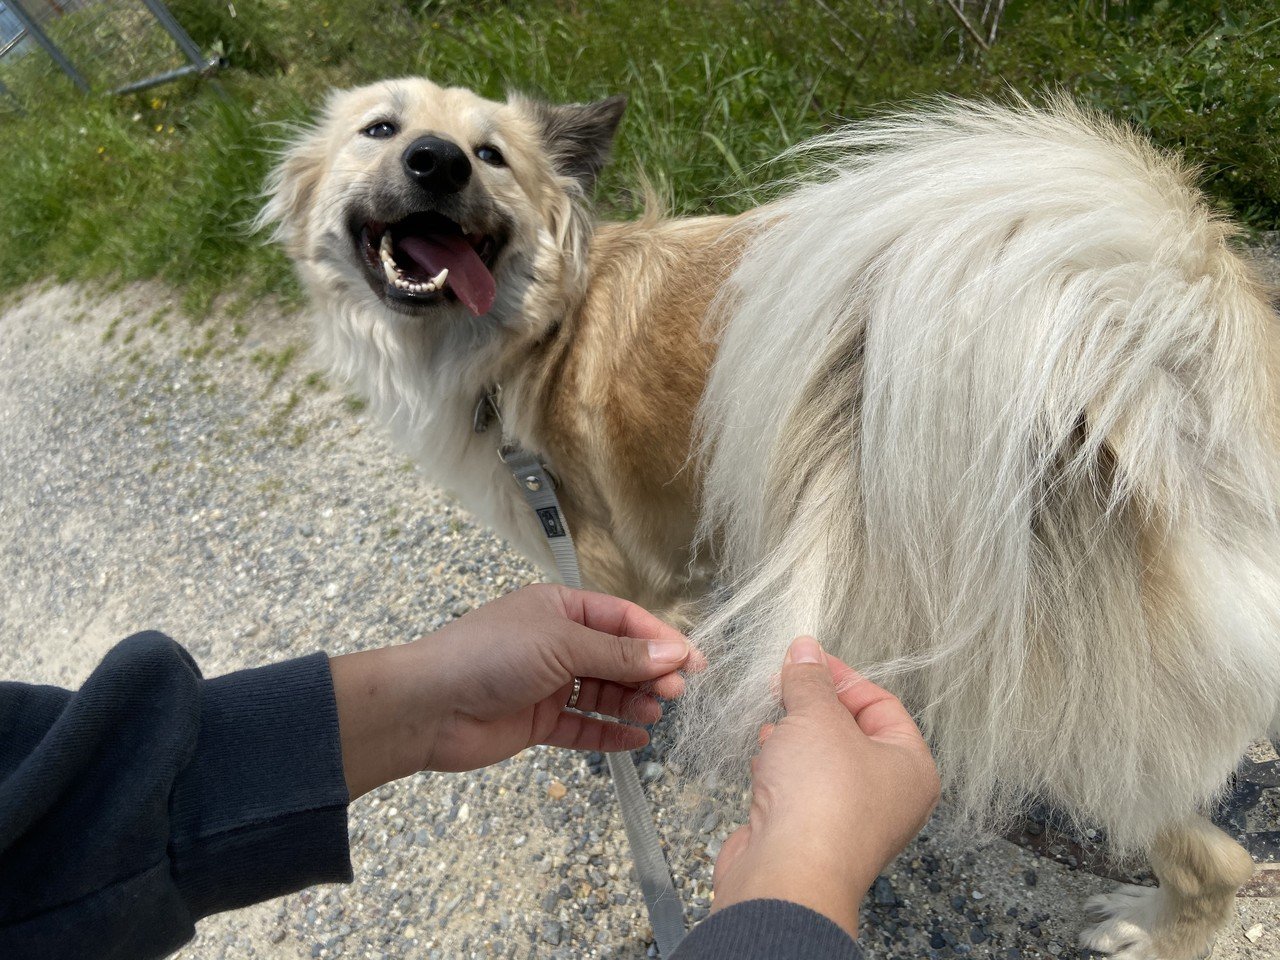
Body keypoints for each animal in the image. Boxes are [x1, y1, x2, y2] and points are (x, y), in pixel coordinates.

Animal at [262, 77, 1280, 960]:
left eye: (490, 155)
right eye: (381, 130)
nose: (437, 163)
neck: (539, 325)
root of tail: (1166, 363)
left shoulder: (615, 570)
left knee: (1217, 859)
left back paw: (1152, 930)